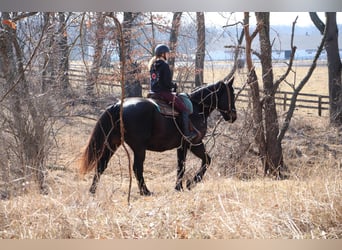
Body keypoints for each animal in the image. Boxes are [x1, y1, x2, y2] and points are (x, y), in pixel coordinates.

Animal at [80, 78, 236, 195]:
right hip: (139, 148)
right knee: (137, 168)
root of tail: (118, 105)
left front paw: (179, 187)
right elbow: (204, 161)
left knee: (101, 164)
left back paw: (92, 191)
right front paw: (190, 183)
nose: (233, 116)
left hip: (113, 144)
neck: (198, 107)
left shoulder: (184, 146)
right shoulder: (194, 143)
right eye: (232, 94)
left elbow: (183, 165)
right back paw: (145, 191)